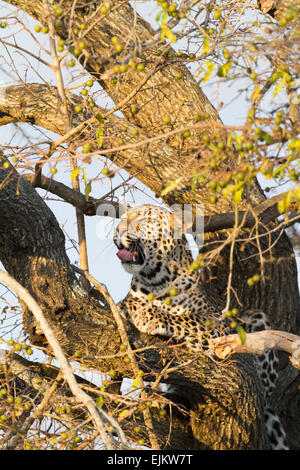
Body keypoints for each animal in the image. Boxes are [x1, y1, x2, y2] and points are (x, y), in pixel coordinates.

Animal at [113, 204, 288, 450]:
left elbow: (189, 319)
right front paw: (130, 306)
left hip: (256, 318)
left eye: (143, 218)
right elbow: (130, 302)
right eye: (122, 219)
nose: (118, 230)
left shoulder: (219, 325)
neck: (156, 279)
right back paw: (161, 399)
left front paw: (149, 315)